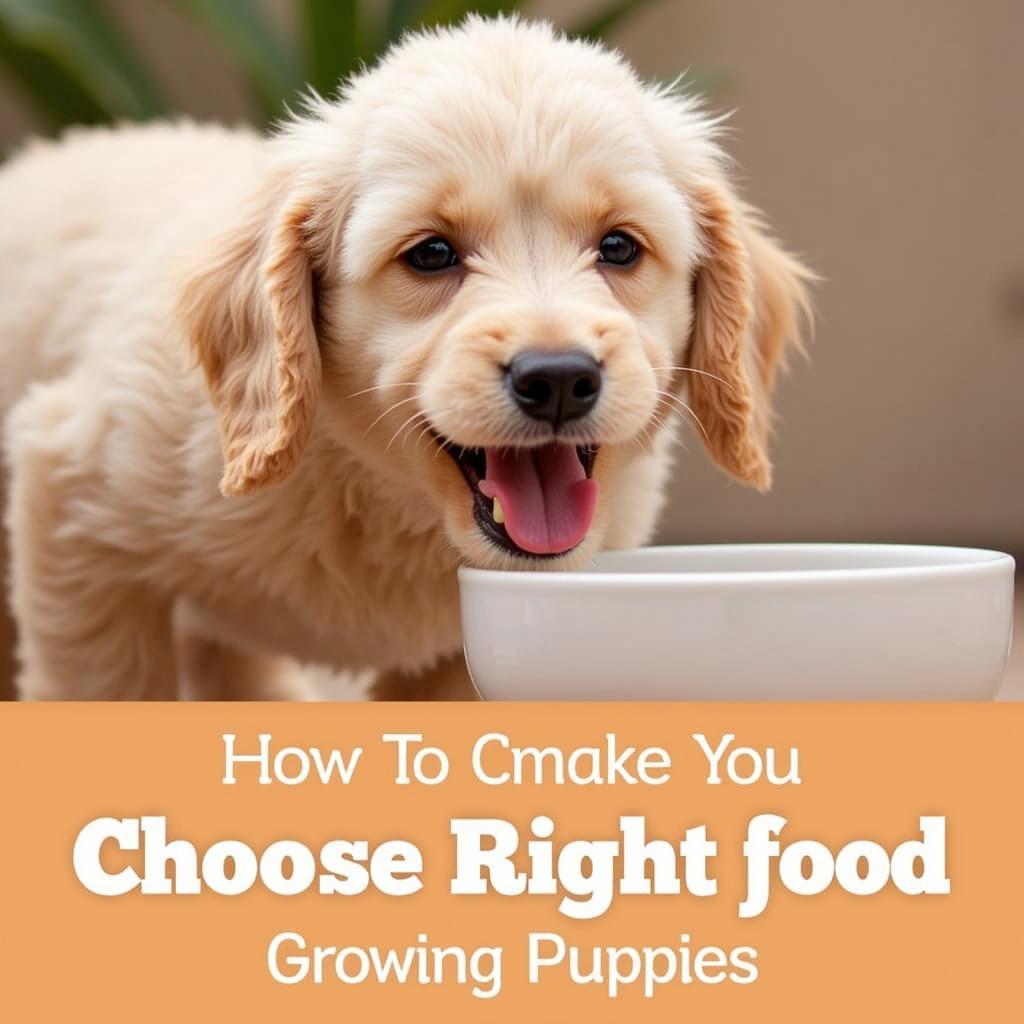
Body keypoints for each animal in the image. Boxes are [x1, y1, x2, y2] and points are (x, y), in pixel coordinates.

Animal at [0, 18, 806, 704]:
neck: (386, 497)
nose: (556, 381)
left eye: (618, 247)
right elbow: (105, 684)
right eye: (432, 255)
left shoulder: (462, 650)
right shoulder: (76, 507)